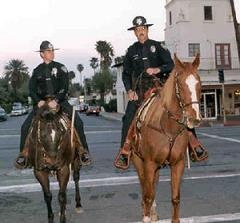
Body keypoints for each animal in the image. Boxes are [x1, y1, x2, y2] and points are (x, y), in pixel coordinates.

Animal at [130, 54, 202, 223]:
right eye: (180, 85)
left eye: (199, 83)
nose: (194, 119)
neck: (168, 127)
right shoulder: (149, 163)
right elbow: (148, 195)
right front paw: (146, 217)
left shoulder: (178, 163)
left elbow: (175, 197)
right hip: (139, 162)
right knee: (145, 188)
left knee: (152, 186)